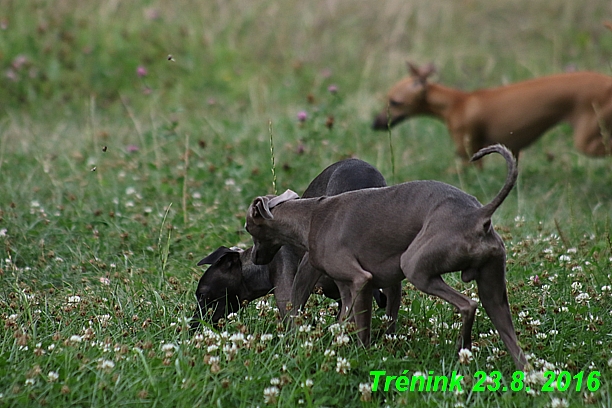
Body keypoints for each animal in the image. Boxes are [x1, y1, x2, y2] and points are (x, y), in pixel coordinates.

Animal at [246, 145, 528, 368]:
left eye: (248, 228)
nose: (256, 259)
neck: (311, 216)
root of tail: (479, 215)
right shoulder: (348, 290)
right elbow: (344, 321)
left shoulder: (360, 280)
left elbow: (362, 329)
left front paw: (361, 357)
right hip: (493, 291)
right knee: (514, 345)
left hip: (415, 266)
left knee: (468, 304)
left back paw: (463, 348)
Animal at [372, 63, 612, 160]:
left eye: (395, 102)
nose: (374, 123)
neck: (456, 102)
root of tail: (608, 81)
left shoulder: (467, 150)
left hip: (587, 139)